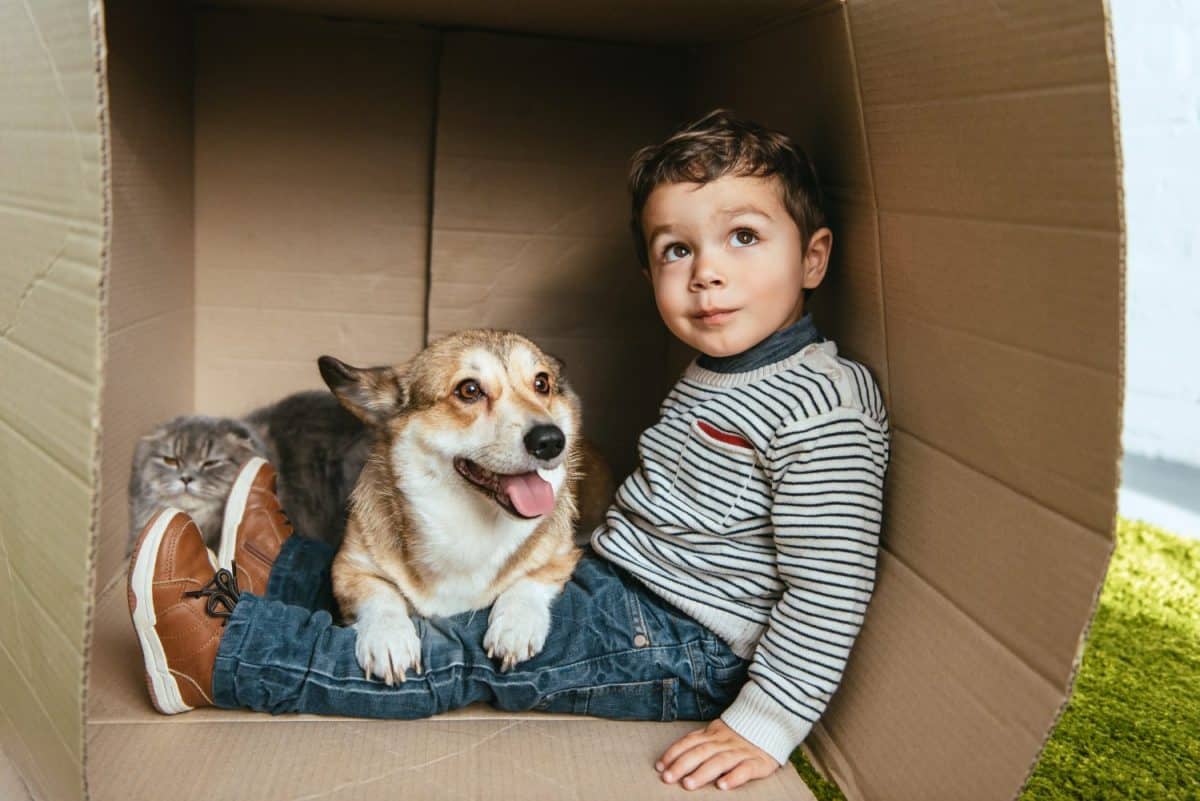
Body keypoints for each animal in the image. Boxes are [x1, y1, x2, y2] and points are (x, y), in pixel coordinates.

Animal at [316, 328, 583, 685]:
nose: (551, 441)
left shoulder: (562, 555)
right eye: (469, 390)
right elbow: (380, 593)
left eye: (542, 383)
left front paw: (516, 625)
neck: (470, 521)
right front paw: (388, 637)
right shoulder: (347, 568)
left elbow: (529, 580)